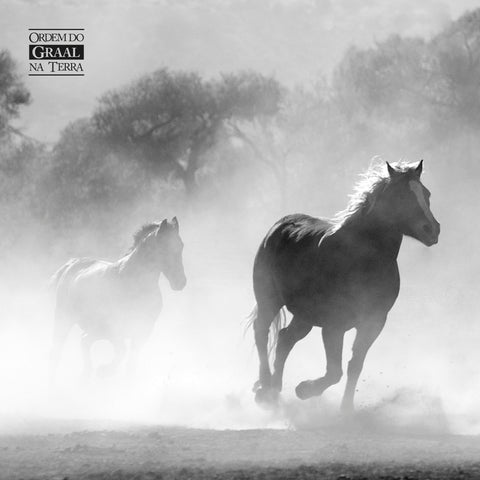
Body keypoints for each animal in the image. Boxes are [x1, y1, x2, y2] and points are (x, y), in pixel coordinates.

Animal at [49, 218, 186, 382]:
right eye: (164, 247)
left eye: (181, 245)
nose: (180, 282)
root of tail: (71, 264)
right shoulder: (115, 329)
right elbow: (121, 352)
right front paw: (104, 371)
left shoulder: (142, 331)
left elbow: (131, 363)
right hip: (64, 319)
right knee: (59, 349)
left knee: (84, 341)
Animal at [253, 162, 440, 412]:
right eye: (402, 195)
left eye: (426, 194)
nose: (432, 229)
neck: (362, 259)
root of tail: (279, 225)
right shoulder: (334, 325)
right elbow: (335, 371)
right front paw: (304, 389)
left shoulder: (374, 322)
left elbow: (354, 365)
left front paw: (346, 409)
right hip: (269, 299)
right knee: (261, 332)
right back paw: (264, 388)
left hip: (304, 316)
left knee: (284, 340)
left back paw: (275, 391)